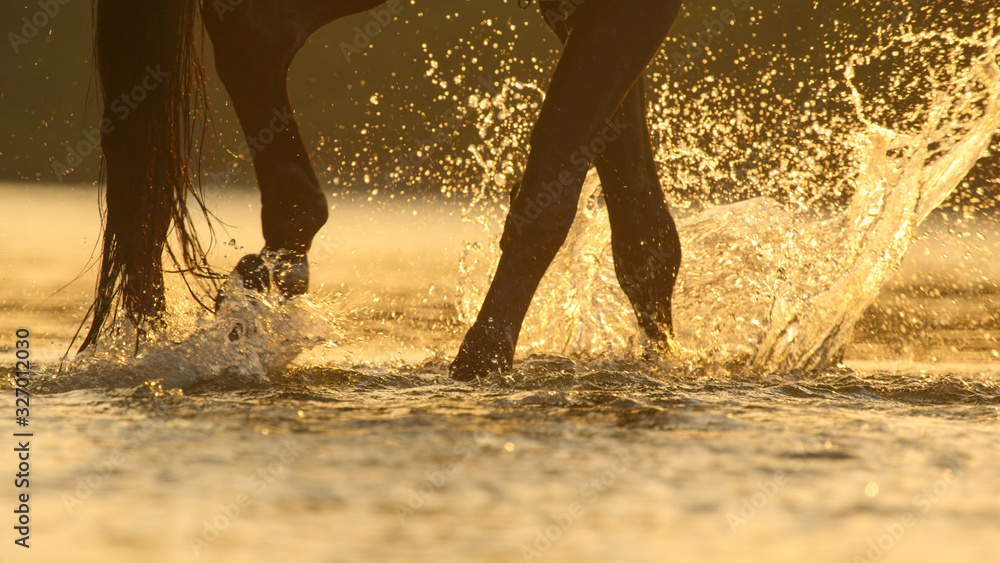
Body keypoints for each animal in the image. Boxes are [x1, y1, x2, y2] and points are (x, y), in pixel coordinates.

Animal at [82, 0, 684, 382]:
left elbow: (642, 233)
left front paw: (663, 357)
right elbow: (555, 191)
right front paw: (480, 366)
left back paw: (266, 272)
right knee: (254, 26)